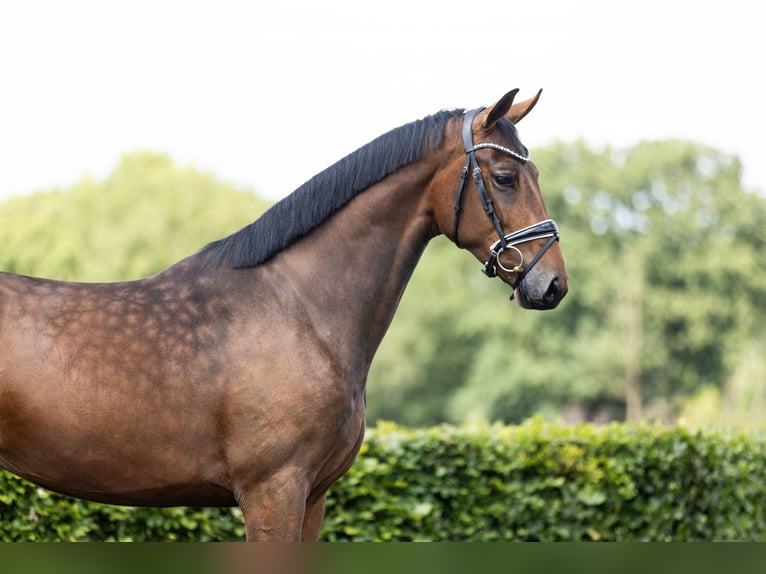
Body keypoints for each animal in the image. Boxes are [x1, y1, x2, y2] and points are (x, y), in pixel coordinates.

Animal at [0, 88, 568, 544]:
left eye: (535, 172)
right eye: (504, 177)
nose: (553, 284)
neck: (300, 309)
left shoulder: (313, 496)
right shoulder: (273, 491)